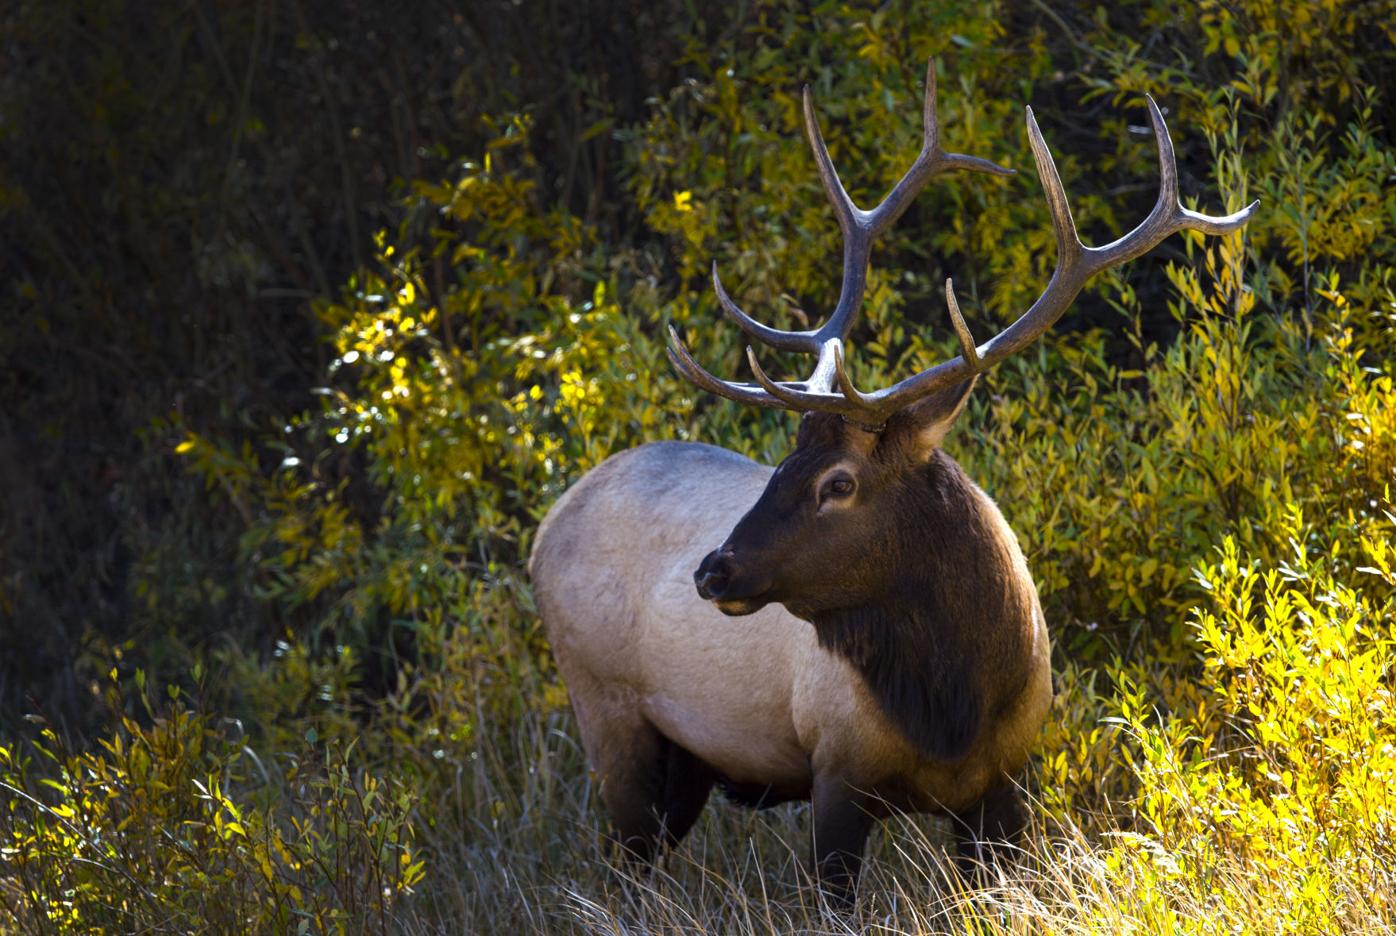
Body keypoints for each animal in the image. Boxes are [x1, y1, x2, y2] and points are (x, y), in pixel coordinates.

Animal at [529, 60, 1256, 904]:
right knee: (618, 864)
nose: (714, 571)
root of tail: (547, 524)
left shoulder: (1005, 786)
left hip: (685, 760)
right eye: (783, 464)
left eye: (838, 483)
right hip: (607, 710)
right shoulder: (836, 773)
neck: (955, 710)